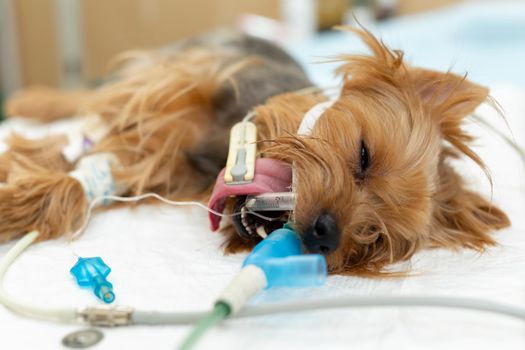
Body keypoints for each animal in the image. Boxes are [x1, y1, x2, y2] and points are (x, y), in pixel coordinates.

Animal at [0, 28, 508, 274]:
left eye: (374, 239)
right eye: (364, 155)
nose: (325, 235)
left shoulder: (161, 170)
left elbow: (97, 173)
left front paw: (29, 198)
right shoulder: (178, 90)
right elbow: (102, 137)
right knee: (87, 99)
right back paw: (31, 101)